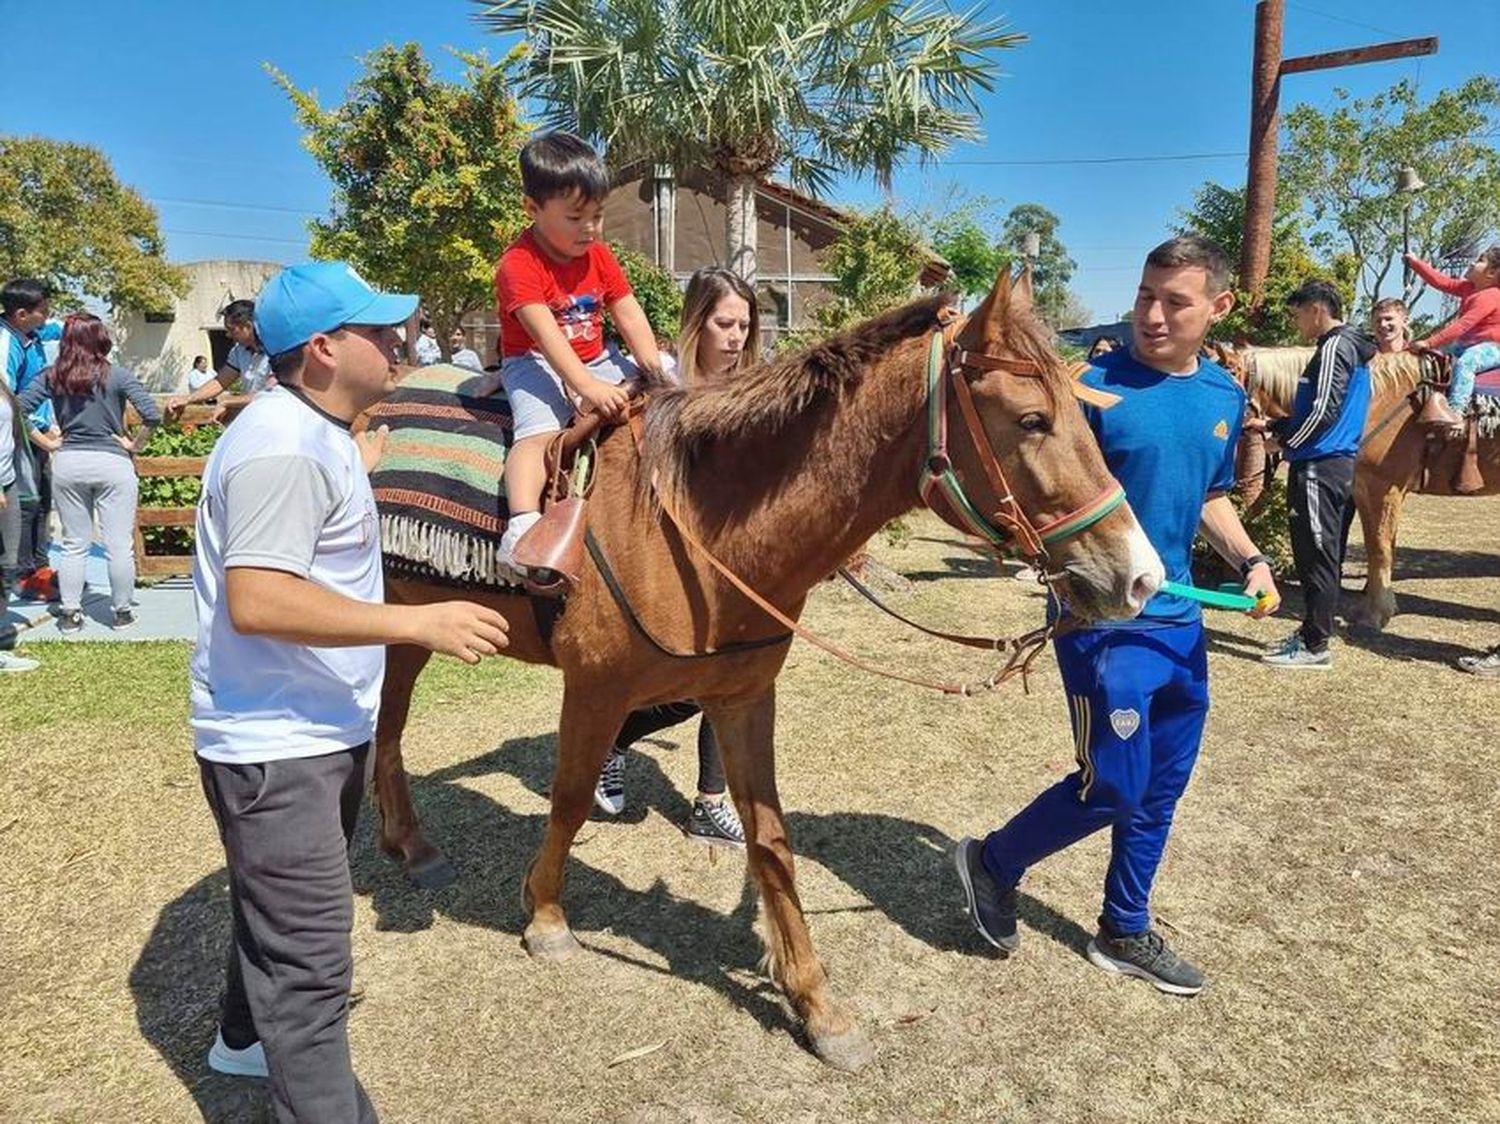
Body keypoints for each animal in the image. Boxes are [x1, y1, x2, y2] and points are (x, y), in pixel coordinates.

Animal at [372, 267, 1158, 1068]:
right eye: (1032, 420)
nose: (1140, 578)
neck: (682, 524)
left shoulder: (743, 695)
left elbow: (772, 841)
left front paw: (815, 1003)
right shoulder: (595, 689)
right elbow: (567, 800)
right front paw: (547, 917)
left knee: (389, 734)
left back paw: (409, 844)